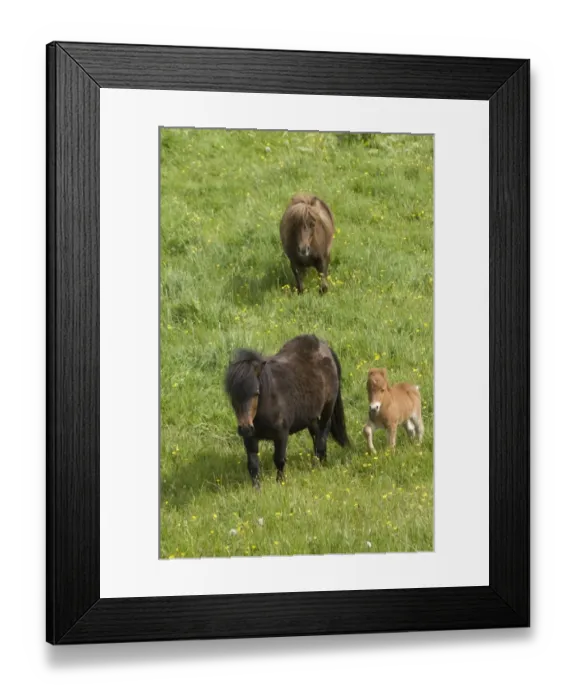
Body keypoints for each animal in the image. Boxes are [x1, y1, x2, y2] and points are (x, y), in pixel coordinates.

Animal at [224, 334, 349, 488]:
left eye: (256, 393)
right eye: (233, 396)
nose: (245, 428)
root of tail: (324, 346)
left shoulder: (281, 434)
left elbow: (279, 460)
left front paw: (280, 483)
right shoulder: (250, 438)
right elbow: (252, 464)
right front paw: (256, 488)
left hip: (328, 407)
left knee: (323, 431)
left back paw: (317, 463)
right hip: (310, 415)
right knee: (316, 432)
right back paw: (322, 460)